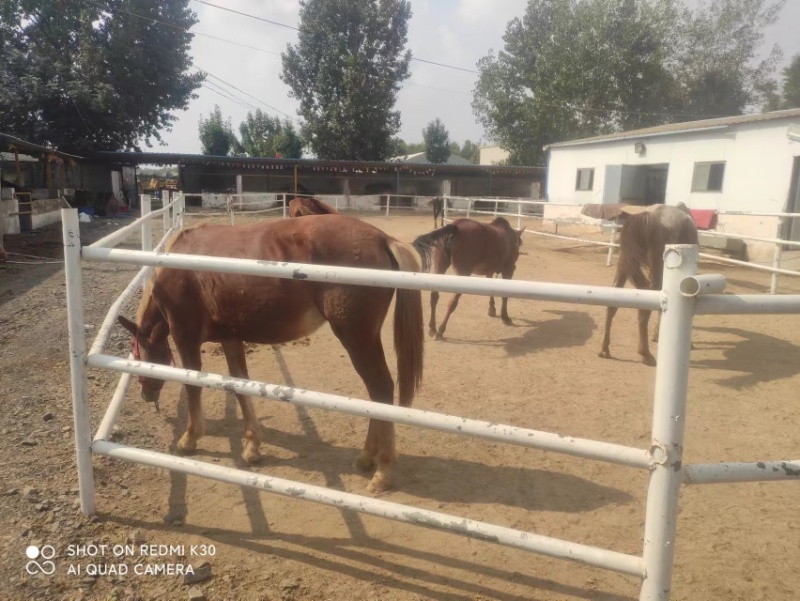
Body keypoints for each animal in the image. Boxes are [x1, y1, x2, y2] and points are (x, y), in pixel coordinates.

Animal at [118, 215, 423, 493]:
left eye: (138, 353)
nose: (146, 395)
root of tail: (381, 238)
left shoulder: (185, 336)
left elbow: (193, 385)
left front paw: (190, 438)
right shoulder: (231, 338)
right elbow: (240, 385)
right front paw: (252, 446)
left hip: (357, 338)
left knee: (381, 388)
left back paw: (382, 472)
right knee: (375, 395)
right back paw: (366, 459)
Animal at [599, 203, 698, 366]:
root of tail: (648, 216)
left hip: (623, 266)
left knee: (612, 305)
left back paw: (605, 349)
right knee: (644, 310)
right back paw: (646, 354)